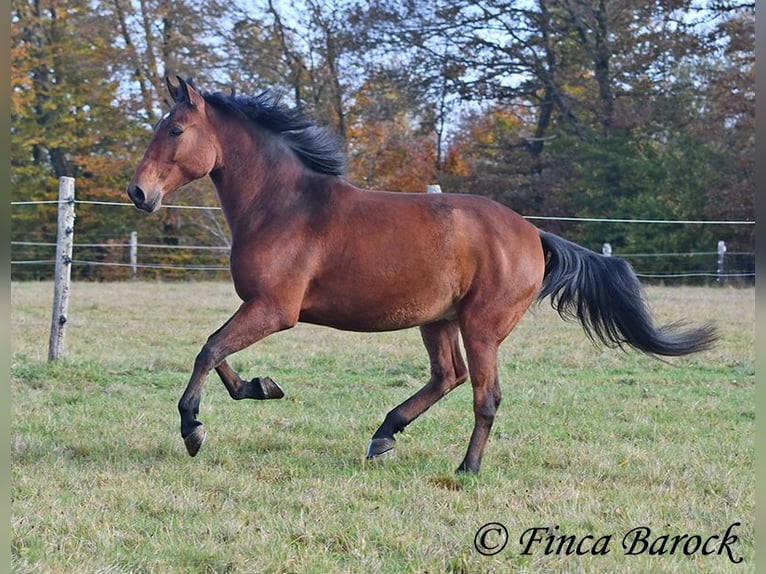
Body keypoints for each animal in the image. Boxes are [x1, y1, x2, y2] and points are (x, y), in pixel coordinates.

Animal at [127, 77, 720, 476]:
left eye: (175, 129)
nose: (138, 192)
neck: (284, 205)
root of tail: (533, 235)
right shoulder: (260, 306)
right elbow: (218, 354)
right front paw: (261, 387)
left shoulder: (275, 309)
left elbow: (208, 349)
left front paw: (192, 430)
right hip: (438, 320)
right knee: (447, 377)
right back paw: (384, 436)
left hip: (481, 327)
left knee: (484, 395)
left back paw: (465, 469)